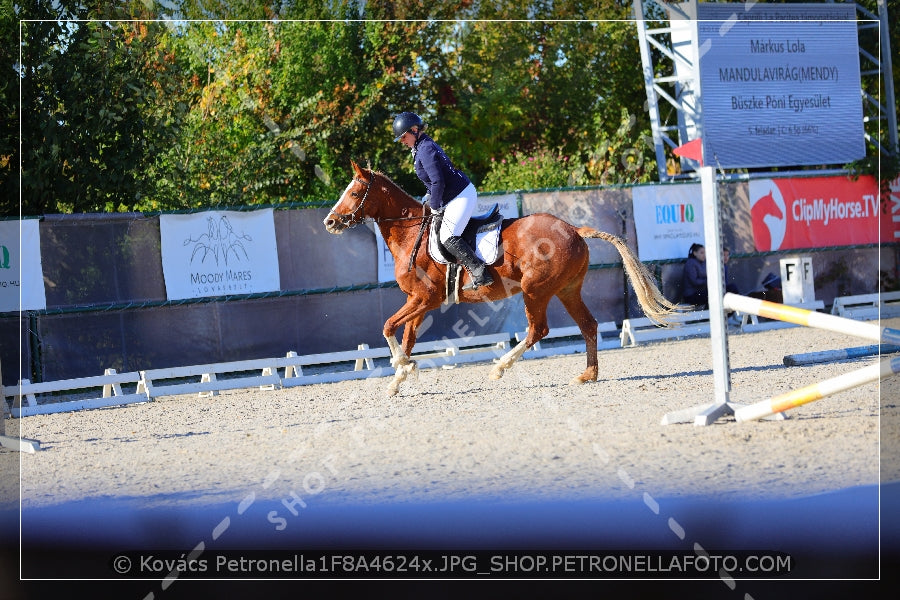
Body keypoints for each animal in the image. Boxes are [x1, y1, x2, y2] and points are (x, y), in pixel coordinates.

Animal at [324, 159, 684, 396]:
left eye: (354, 193)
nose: (330, 222)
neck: (410, 233)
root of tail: (573, 228)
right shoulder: (418, 301)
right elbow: (408, 335)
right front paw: (399, 377)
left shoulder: (425, 299)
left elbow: (388, 326)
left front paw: (403, 366)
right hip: (567, 290)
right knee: (588, 325)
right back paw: (587, 375)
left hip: (534, 290)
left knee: (538, 329)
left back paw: (499, 367)